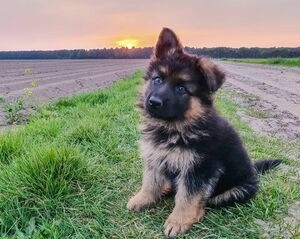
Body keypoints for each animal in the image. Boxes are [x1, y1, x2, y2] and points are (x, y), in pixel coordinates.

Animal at [126, 28, 282, 237]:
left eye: (181, 89)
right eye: (157, 80)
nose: (153, 102)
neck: (176, 127)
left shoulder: (199, 169)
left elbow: (187, 197)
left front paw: (178, 221)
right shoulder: (155, 157)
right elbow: (150, 182)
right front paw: (143, 199)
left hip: (236, 191)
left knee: (206, 201)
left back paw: (196, 213)